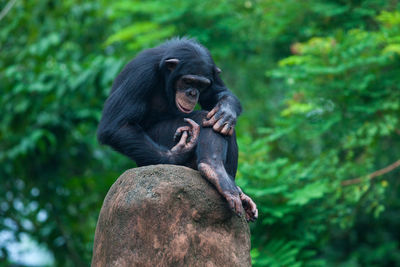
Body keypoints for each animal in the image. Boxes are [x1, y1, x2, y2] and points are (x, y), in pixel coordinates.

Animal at [98, 37, 258, 222]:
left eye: (202, 84)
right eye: (188, 81)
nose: (192, 93)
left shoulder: (212, 74)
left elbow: (218, 94)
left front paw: (226, 110)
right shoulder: (140, 73)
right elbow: (116, 125)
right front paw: (178, 153)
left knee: (221, 124)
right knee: (203, 116)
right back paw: (213, 169)